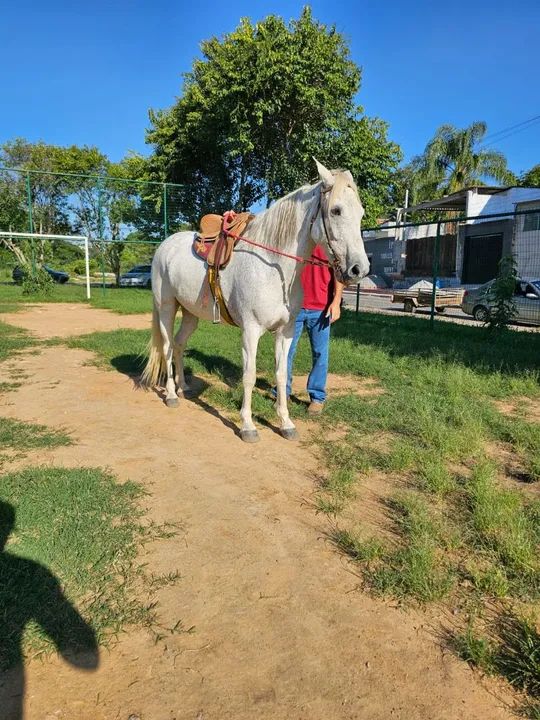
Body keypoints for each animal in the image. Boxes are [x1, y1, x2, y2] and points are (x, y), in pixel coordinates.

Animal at [142, 159, 370, 442]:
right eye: (336, 210)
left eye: (361, 213)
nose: (359, 269)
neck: (274, 266)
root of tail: (164, 246)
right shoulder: (250, 331)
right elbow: (249, 376)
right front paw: (248, 426)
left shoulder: (285, 332)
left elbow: (281, 374)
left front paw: (286, 423)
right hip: (166, 308)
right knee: (167, 347)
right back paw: (172, 394)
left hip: (191, 314)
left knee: (180, 344)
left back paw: (184, 387)